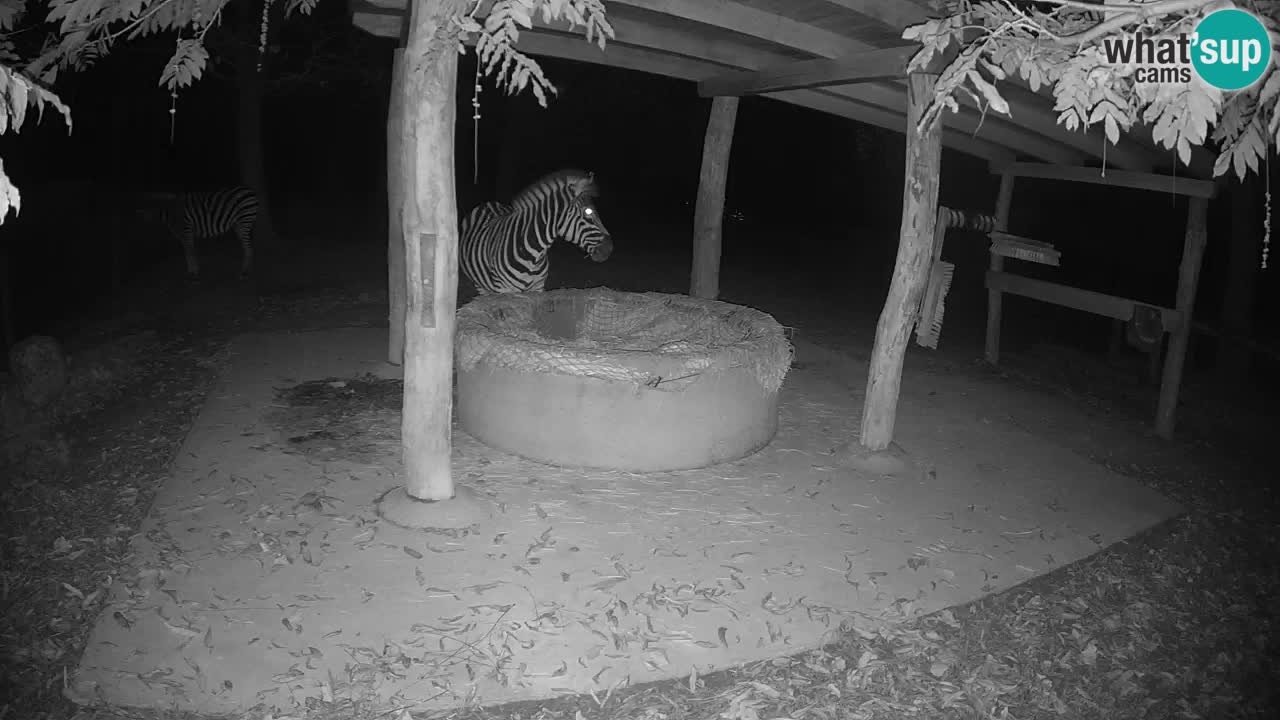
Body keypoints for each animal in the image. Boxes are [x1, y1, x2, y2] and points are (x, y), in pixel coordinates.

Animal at [459, 169, 614, 294]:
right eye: (588, 212)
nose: (610, 249)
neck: (533, 256)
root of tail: (487, 203)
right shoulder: (503, 290)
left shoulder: (538, 289)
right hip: (480, 285)